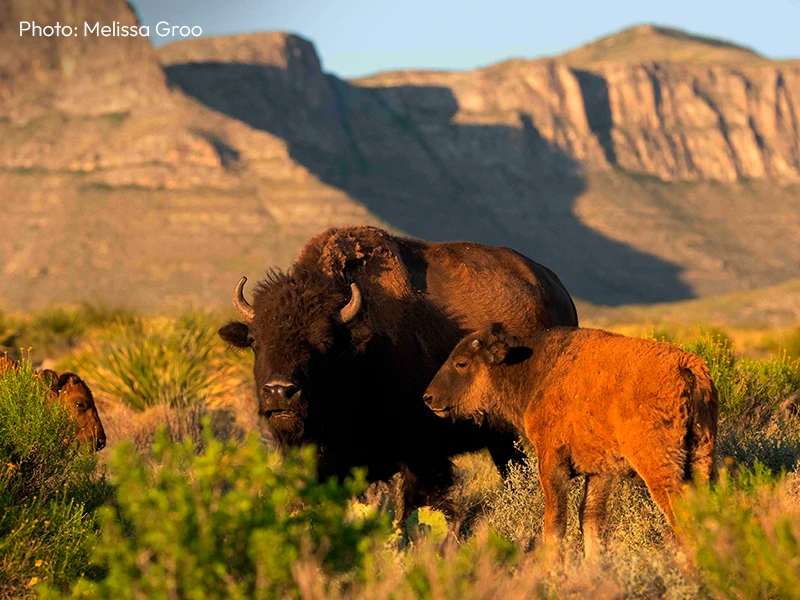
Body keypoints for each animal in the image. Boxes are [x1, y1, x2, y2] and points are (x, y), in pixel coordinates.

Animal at [219, 226, 580, 516]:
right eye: (255, 341)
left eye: (325, 341)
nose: (279, 392)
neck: (360, 351)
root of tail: (559, 291)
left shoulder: (422, 454)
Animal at [424, 326, 720, 556]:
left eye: (462, 363)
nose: (428, 397)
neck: (534, 369)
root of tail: (687, 367)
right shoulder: (600, 472)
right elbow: (590, 520)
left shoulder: (552, 463)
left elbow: (554, 522)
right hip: (702, 458)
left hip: (659, 466)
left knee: (681, 516)